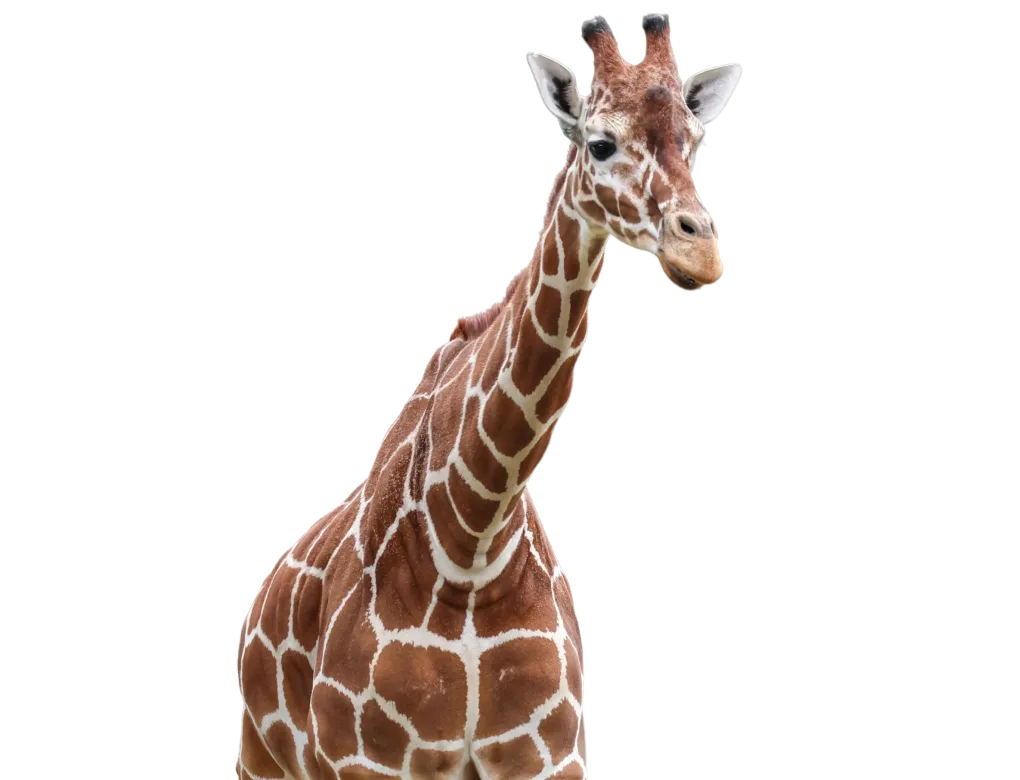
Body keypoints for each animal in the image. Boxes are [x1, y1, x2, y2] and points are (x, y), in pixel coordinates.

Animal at [236, 14, 740, 780]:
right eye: (600, 143)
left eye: (695, 141)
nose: (699, 254)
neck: (473, 539)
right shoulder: (371, 761)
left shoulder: (550, 755)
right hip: (263, 757)